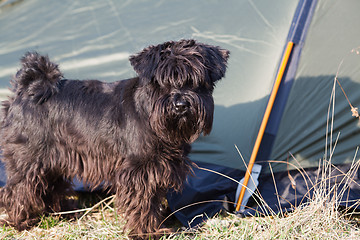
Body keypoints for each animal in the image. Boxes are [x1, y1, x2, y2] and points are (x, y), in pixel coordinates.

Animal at [0, 39, 229, 238]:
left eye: (196, 81)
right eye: (161, 82)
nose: (181, 104)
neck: (149, 113)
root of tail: (25, 90)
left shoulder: (156, 168)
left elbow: (152, 200)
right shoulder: (139, 172)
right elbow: (142, 204)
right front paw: (145, 233)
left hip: (52, 160)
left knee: (49, 186)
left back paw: (62, 212)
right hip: (28, 160)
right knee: (18, 189)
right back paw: (21, 221)